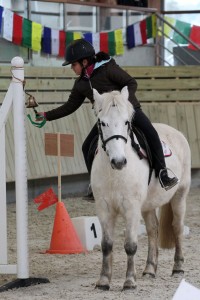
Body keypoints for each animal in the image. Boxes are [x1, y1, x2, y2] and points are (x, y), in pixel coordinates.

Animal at [90, 86, 191, 290]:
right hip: (148, 205)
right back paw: (150, 269)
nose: (119, 161)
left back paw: (178, 268)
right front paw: (103, 280)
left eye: (126, 122)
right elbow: (106, 244)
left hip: (179, 196)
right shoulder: (104, 208)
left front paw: (129, 281)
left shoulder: (131, 208)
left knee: (177, 227)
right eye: (102, 123)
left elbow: (130, 245)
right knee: (153, 230)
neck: (115, 174)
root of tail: (175, 131)